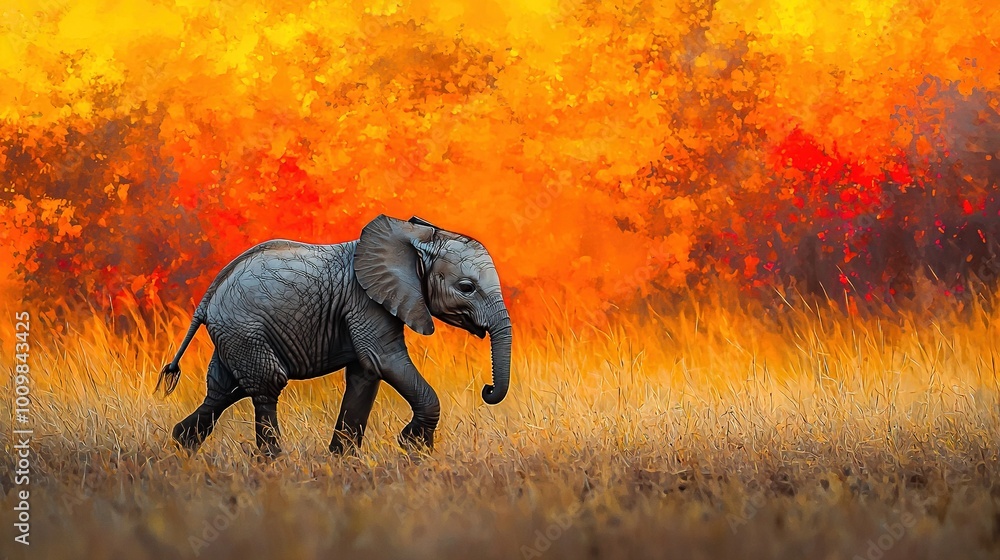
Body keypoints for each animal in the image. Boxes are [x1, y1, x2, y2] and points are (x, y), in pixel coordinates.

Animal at [157, 214, 512, 456]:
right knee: (266, 383)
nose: (486, 388)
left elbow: (366, 374)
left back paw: (182, 445)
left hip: (235, 333)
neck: (413, 235)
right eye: (466, 287)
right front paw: (413, 448)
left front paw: (343, 460)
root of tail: (208, 296)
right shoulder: (365, 301)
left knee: (226, 388)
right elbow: (384, 360)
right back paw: (272, 461)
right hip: (243, 328)